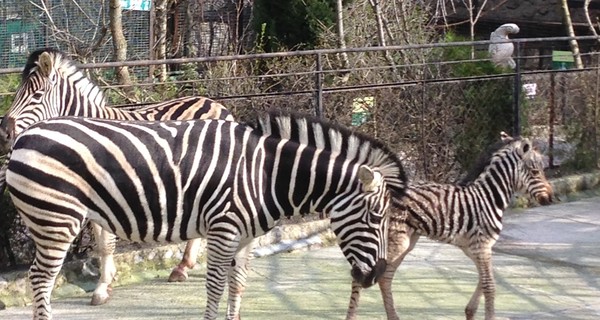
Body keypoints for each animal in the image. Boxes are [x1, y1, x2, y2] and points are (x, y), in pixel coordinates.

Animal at [0, 48, 232, 308]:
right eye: (16, 94)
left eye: (37, 95)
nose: (3, 135)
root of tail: (214, 103)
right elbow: (103, 244)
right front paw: (106, 283)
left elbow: (107, 243)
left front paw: (102, 287)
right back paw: (183, 267)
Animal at [5, 110, 408, 320]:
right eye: (375, 219)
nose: (374, 276)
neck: (266, 175)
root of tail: (27, 133)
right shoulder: (223, 229)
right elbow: (215, 286)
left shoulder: (246, 237)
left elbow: (237, 285)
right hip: (57, 218)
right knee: (41, 278)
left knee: (40, 277)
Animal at [344, 132, 556, 320]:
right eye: (535, 171)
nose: (551, 198)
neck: (488, 198)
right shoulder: (481, 247)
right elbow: (490, 286)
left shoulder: (477, 250)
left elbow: (486, 280)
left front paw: (470, 312)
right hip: (394, 240)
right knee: (364, 275)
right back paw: (353, 317)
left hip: (407, 241)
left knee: (384, 277)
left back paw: (393, 317)